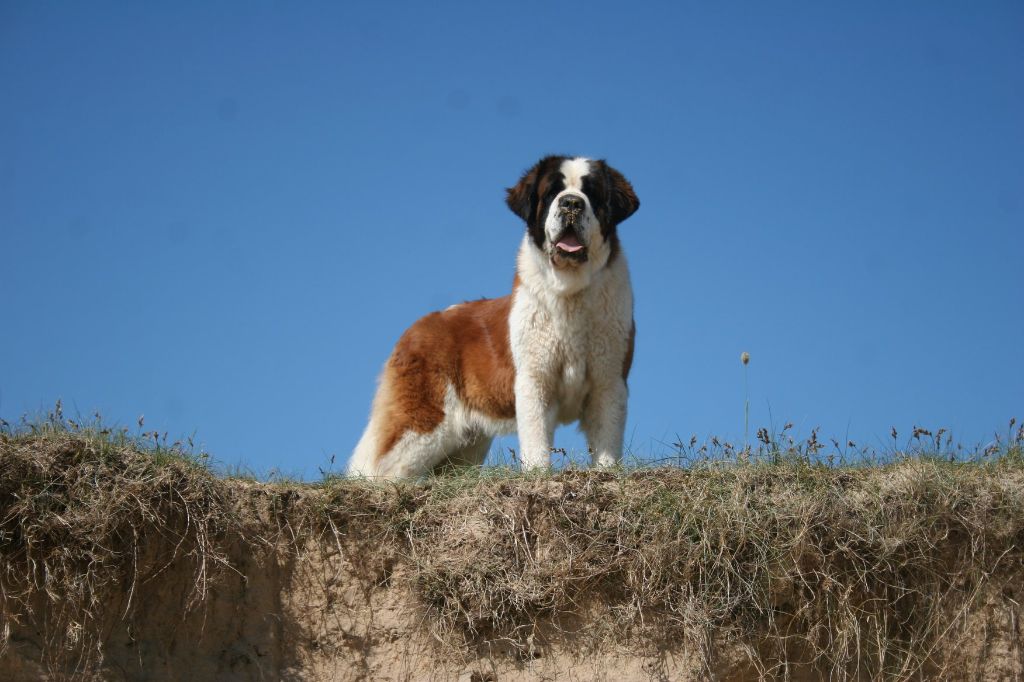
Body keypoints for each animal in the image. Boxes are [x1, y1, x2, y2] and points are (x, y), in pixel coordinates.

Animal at [352, 157, 638, 477]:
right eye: (553, 192)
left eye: (591, 193)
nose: (572, 204)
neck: (570, 290)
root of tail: (417, 326)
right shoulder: (534, 382)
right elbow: (537, 443)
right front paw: (537, 475)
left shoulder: (608, 383)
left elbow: (606, 442)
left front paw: (607, 474)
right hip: (424, 424)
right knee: (381, 470)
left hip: (466, 444)